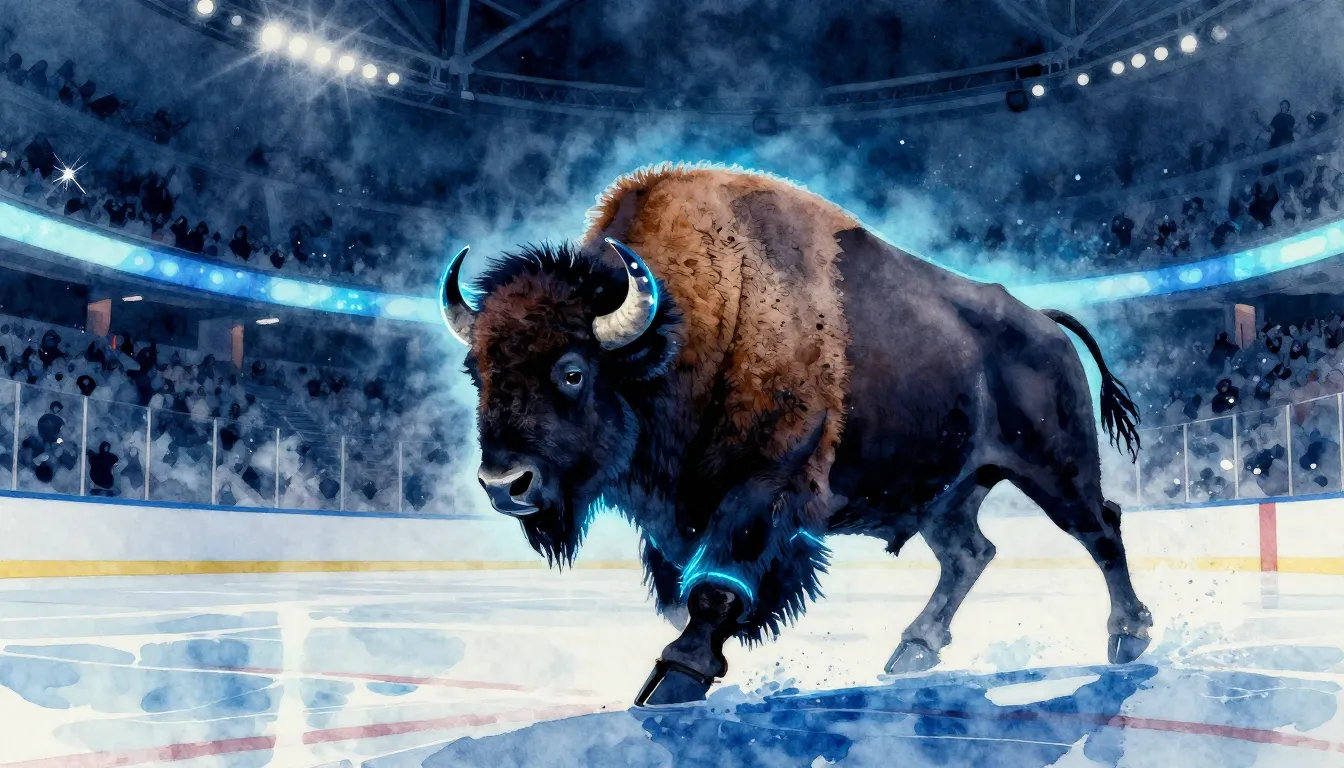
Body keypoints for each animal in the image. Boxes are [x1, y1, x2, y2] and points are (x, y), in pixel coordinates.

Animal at [441, 164, 1150, 706]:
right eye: (476, 370)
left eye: (572, 371)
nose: (505, 485)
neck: (686, 327)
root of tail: (1046, 324)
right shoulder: (673, 514)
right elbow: (681, 586)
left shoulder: (764, 486)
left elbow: (718, 586)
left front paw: (675, 679)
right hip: (946, 493)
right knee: (970, 553)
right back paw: (912, 652)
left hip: (1054, 469)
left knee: (1101, 529)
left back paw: (1129, 637)